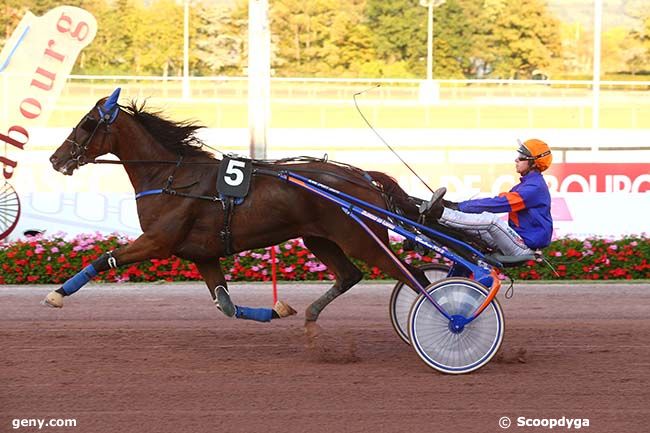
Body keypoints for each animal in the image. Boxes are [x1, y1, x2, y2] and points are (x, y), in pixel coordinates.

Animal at [46, 87, 430, 330]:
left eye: (87, 122)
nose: (55, 159)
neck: (172, 176)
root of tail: (366, 178)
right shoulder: (202, 255)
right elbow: (226, 305)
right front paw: (278, 309)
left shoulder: (157, 242)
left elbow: (104, 258)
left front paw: (56, 295)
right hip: (318, 239)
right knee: (351, 275)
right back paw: (311, 315)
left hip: (363, 241)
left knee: (417, 278)